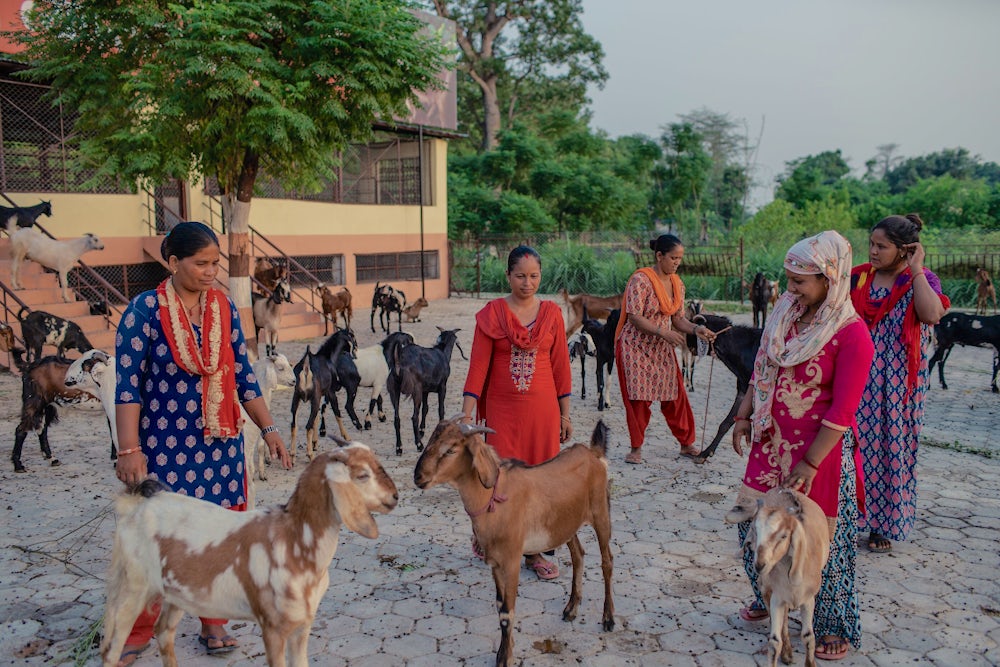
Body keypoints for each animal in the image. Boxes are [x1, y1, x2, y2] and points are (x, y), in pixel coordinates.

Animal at [100, 444, 398, 667]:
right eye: (362, 475)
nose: (395, 497)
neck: (294, 539)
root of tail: (135, 505)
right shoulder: (272, 626)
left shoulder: (302, 624)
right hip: (132, 588)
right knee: (111, 650)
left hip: (176, 593)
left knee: (163, 632)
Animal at [414, 420, 616, 664]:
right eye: (430, 441)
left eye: (451, 449)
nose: (418, 477)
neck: (493, 499)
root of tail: (594, 453)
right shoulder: (495, 562)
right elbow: (501, 607)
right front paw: (505, 650)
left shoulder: (511, 560)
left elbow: (507, 611)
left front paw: (505, 657)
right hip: (567, 524)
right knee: (578, 555)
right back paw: (571, 609)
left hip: (601, 513)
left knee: (607, 562)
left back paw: (608, 618)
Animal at [728, 486, 828, 667]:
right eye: (755, 530)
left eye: (783, 536)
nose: (760, 565)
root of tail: (782, 488)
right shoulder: (777, 597)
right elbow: (775, 641)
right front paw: (782, 651)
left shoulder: (808, 599)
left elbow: (808, 636)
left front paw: (810, 663)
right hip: (767, 589)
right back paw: (787, 653)